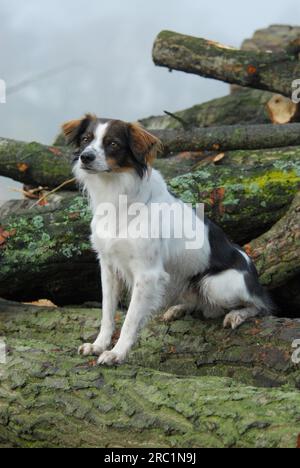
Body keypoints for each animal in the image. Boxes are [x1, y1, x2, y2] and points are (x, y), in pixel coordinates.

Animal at [62, 114, 274, 366]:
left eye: (113, 143)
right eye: (86, 139)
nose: (86, 157)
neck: (117, 195)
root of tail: (254, 276)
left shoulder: (147, 274)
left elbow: (130, 319)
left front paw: (116, 353)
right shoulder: (108, 267)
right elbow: (107, 312)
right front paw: (98, 345)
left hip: (215, 284)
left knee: (262, 305)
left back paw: (238, 314)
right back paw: (178, 309)